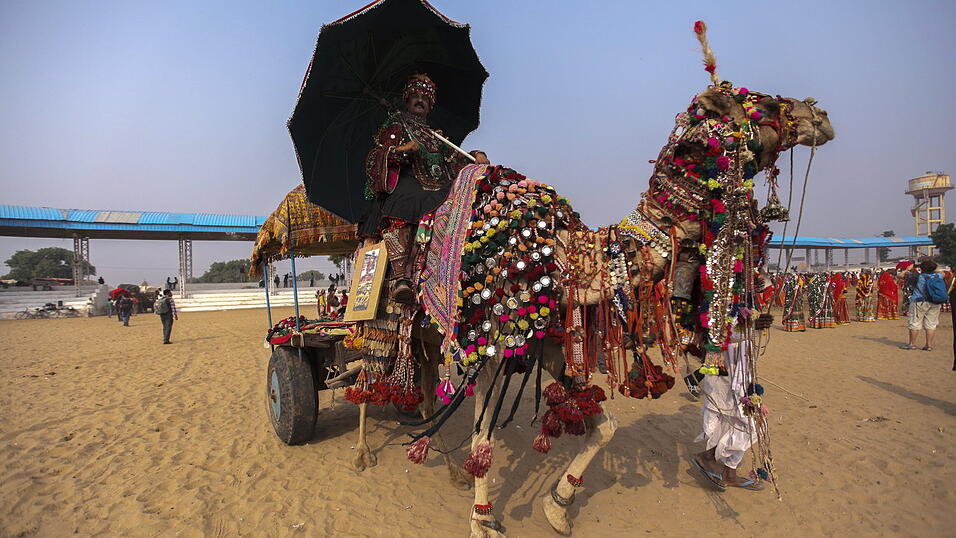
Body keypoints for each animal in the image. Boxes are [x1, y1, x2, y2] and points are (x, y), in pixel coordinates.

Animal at [345, 24, 835, 537]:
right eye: (761, 103)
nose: (818, 114)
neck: (566, 258)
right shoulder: (493, 343)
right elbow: (483, 438)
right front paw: (483, 520)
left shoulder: (556, 341)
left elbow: (604, 427)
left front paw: (559, 505)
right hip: (376, 311)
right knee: (367, 371)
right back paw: (363, 453)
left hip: (423, 332)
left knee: (420, 377)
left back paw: (444, 461)